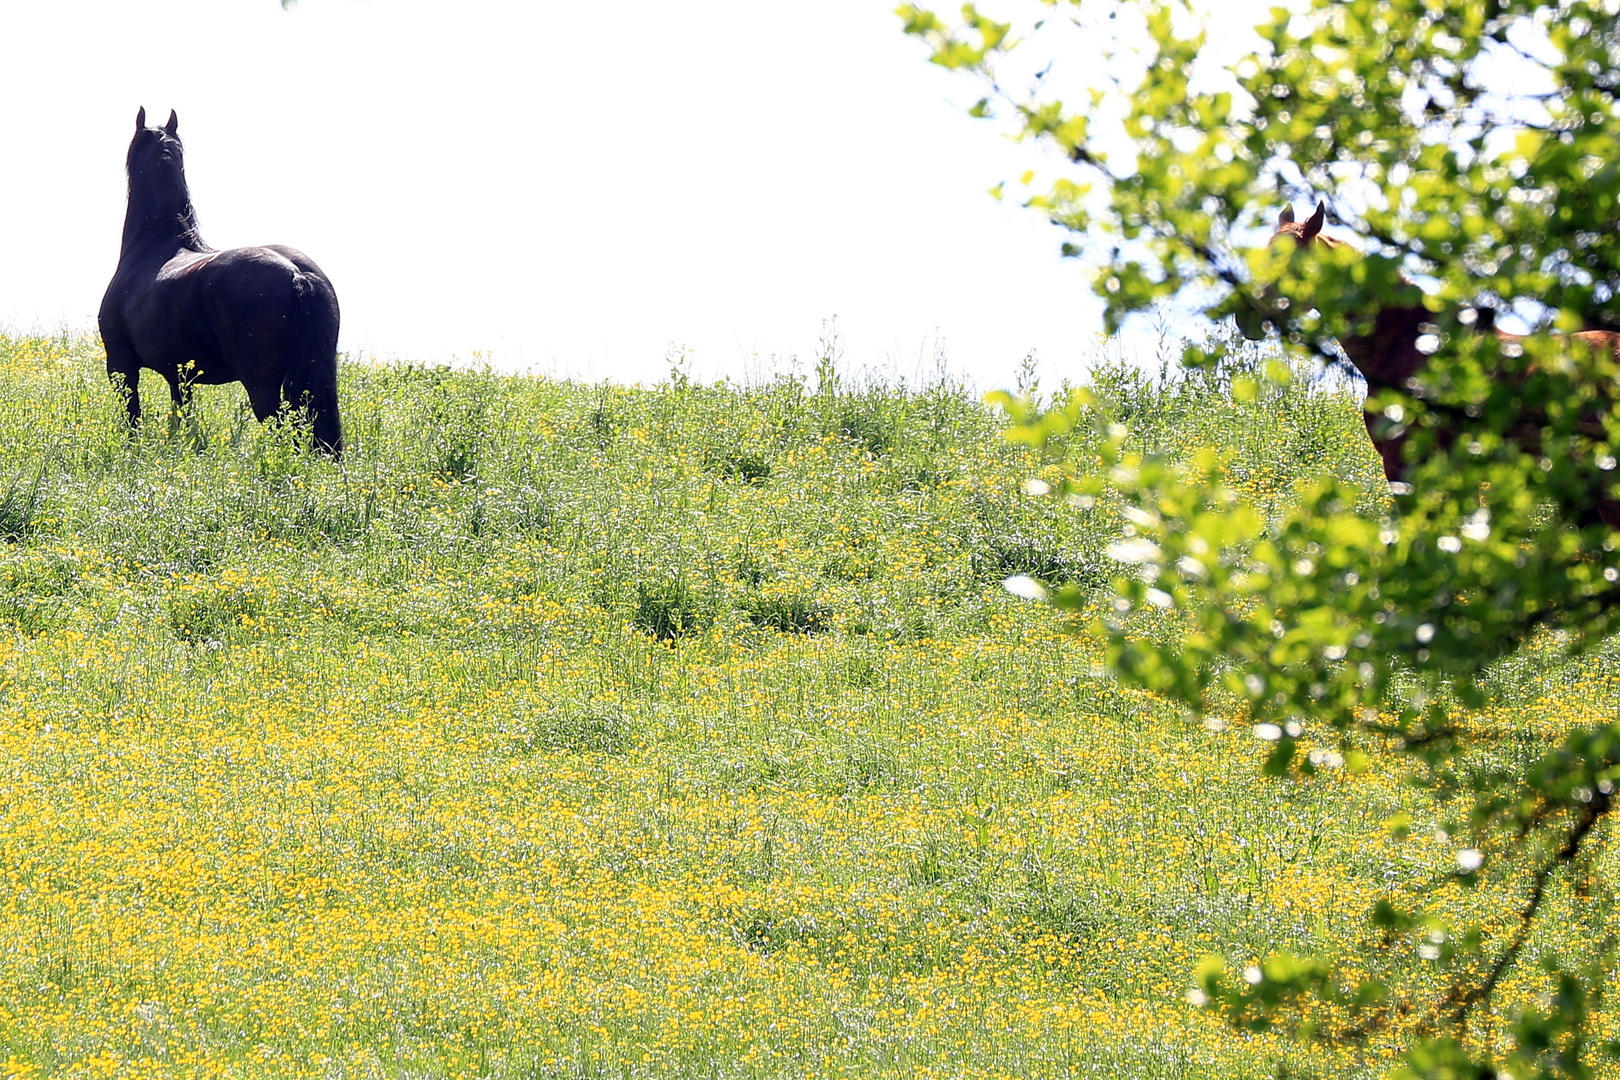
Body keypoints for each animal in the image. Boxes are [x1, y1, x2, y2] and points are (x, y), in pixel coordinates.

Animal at [98, 113, 345, 456]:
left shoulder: (121, 366)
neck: (152, 246)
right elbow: (182, 416)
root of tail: (297, 274)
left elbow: (133, 418)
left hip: (262, 383)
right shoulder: (180, 376)